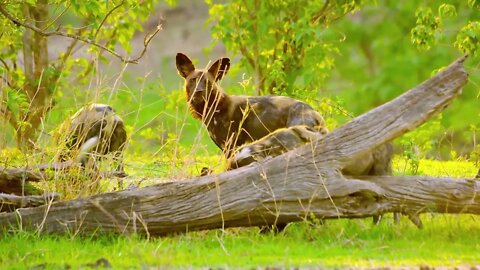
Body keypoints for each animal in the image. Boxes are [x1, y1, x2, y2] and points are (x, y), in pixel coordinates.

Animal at [177, 53, 330, 158]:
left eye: (208, 82)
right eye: (193, 80)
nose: (198, 92)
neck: (215, 107)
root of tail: (315, 113)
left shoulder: (230, 147)